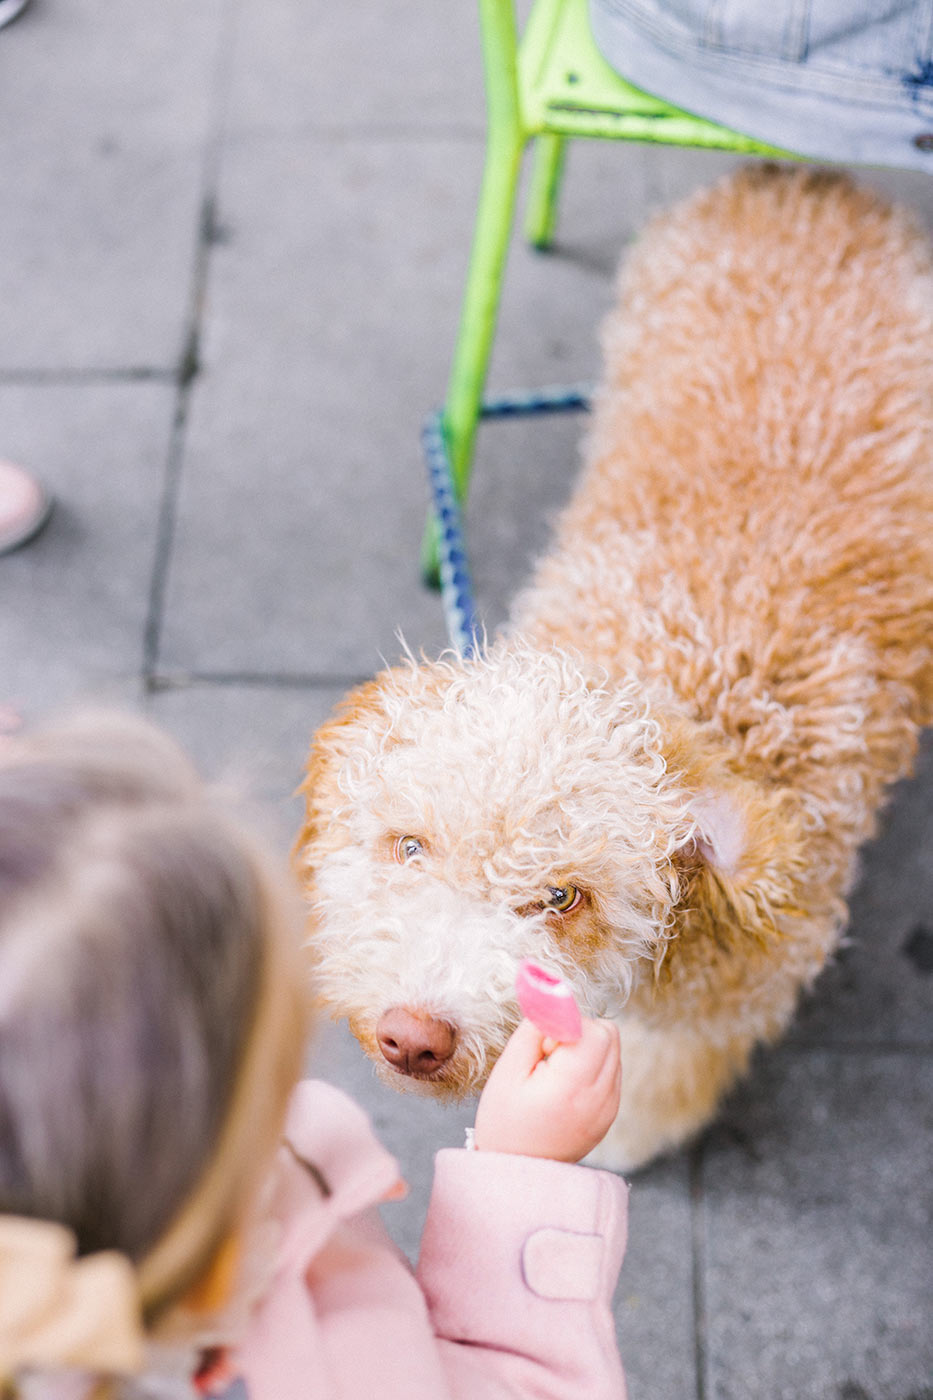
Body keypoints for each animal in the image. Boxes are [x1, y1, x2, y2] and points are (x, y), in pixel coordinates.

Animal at [294, 163, 930, 1170]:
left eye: (563, 897)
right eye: (409, 846)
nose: (413, 1037)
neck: (672, 674)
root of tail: (806, 181)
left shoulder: (722, 1004)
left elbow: (661, 1088)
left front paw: (610, 1143)